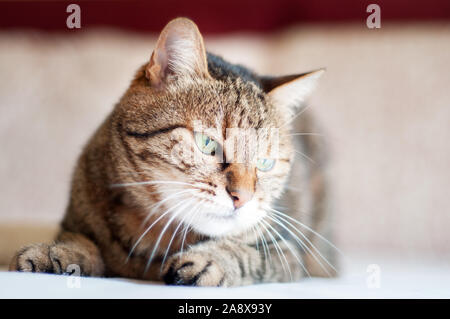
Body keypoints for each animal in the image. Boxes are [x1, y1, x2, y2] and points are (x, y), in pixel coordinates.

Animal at [8, 18, 336, 288]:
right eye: (207, 144)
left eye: (265, 163)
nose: (242, 197)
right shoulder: (76, 219)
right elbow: (80, 240)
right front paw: (57, 252)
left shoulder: (285, 252)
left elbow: (246, 254)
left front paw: (210, 259)